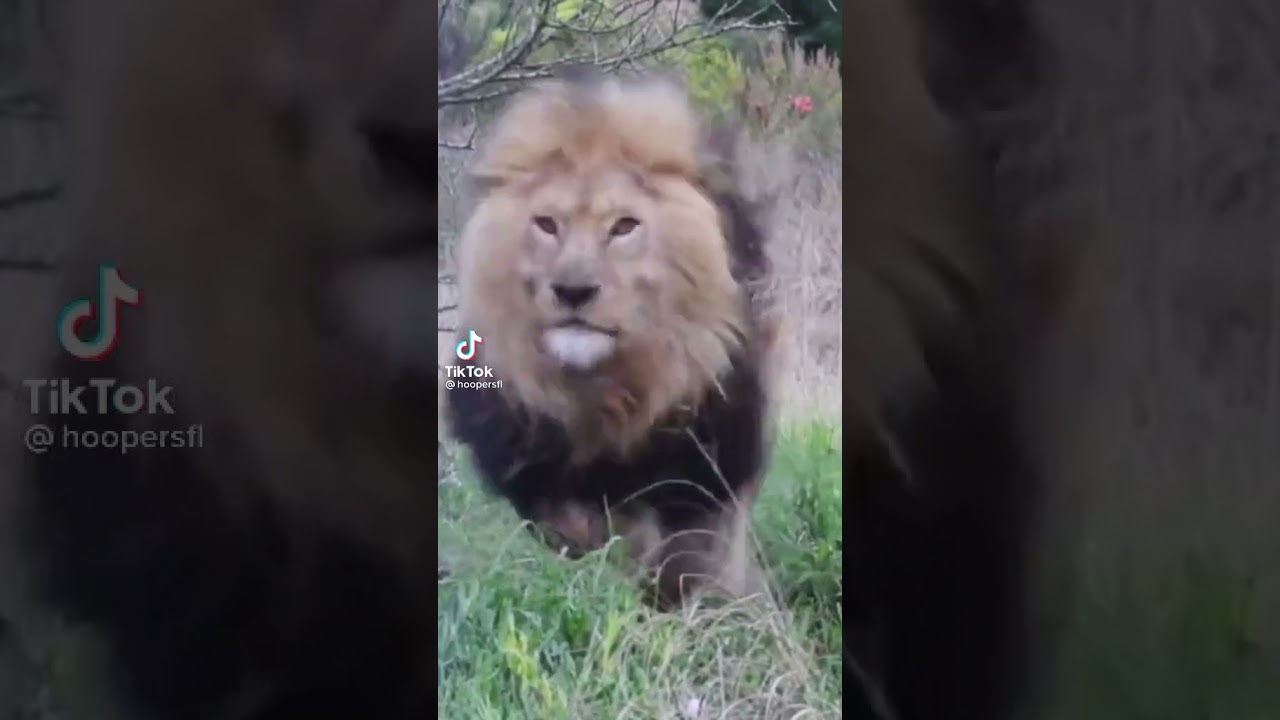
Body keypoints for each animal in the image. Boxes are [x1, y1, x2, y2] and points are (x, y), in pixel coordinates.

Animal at [442, 74, 777, 608]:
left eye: (624, 226)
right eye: (547, 224)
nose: (573, 290)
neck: (607, 398)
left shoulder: (707, 484)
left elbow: (687, 564)